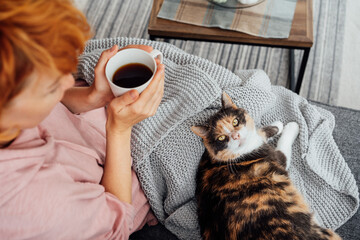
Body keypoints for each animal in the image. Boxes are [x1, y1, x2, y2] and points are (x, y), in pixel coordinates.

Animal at [191, 92, 340, 240]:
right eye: (221, 138)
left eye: (235, 121)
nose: (236, 135)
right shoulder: (275, 158)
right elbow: (282, 144)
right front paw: (292, 126)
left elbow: (261, 131)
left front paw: (276, 125)